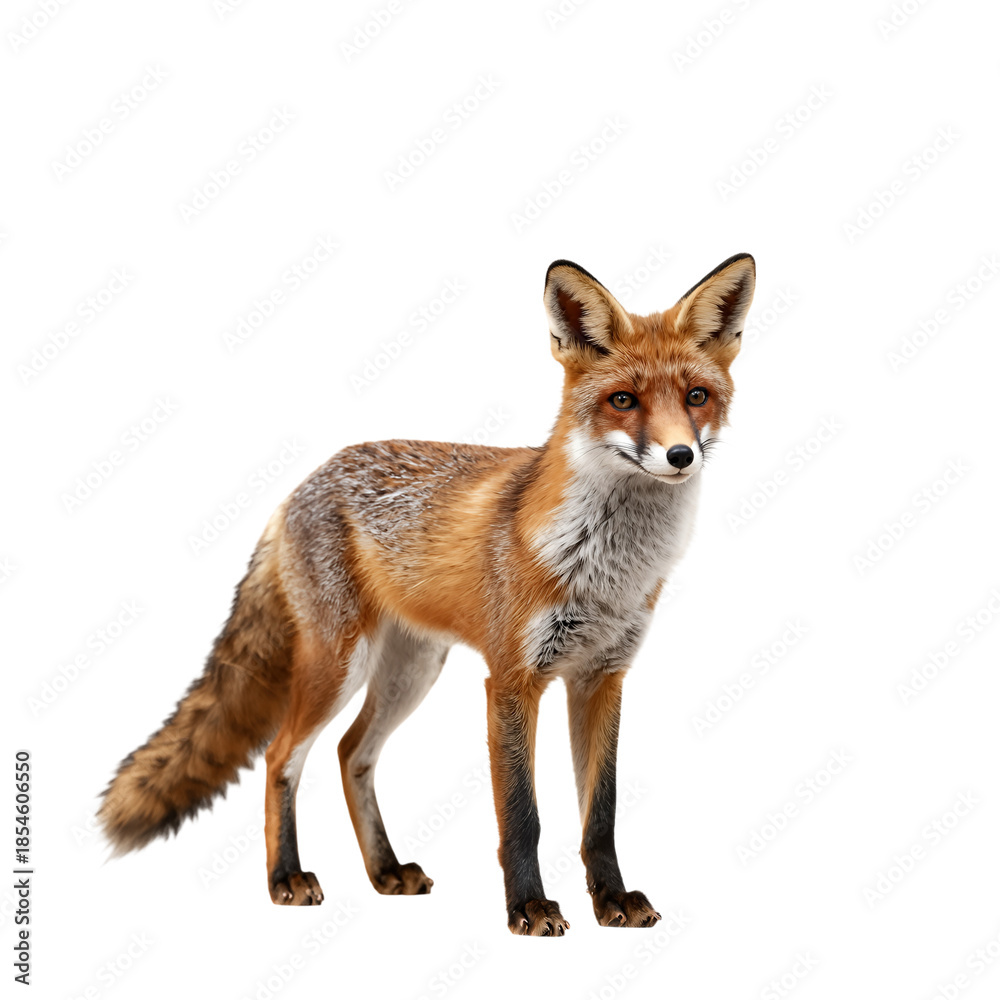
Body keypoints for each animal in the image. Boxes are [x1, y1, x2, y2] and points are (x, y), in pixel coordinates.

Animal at [98, 252, 755, 935]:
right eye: (623, 400)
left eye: (697, 396)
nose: (680, 455)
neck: (606, 569)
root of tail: (300, 486)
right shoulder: (512, 680)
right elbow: (523, 817)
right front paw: (528, 907)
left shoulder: (601, 677)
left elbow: (600, 816)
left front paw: (612, 901)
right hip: (339, 664)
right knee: (281, 757)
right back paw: (285, 878)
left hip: (411, 671)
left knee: (351, 752)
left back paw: (384, 871)